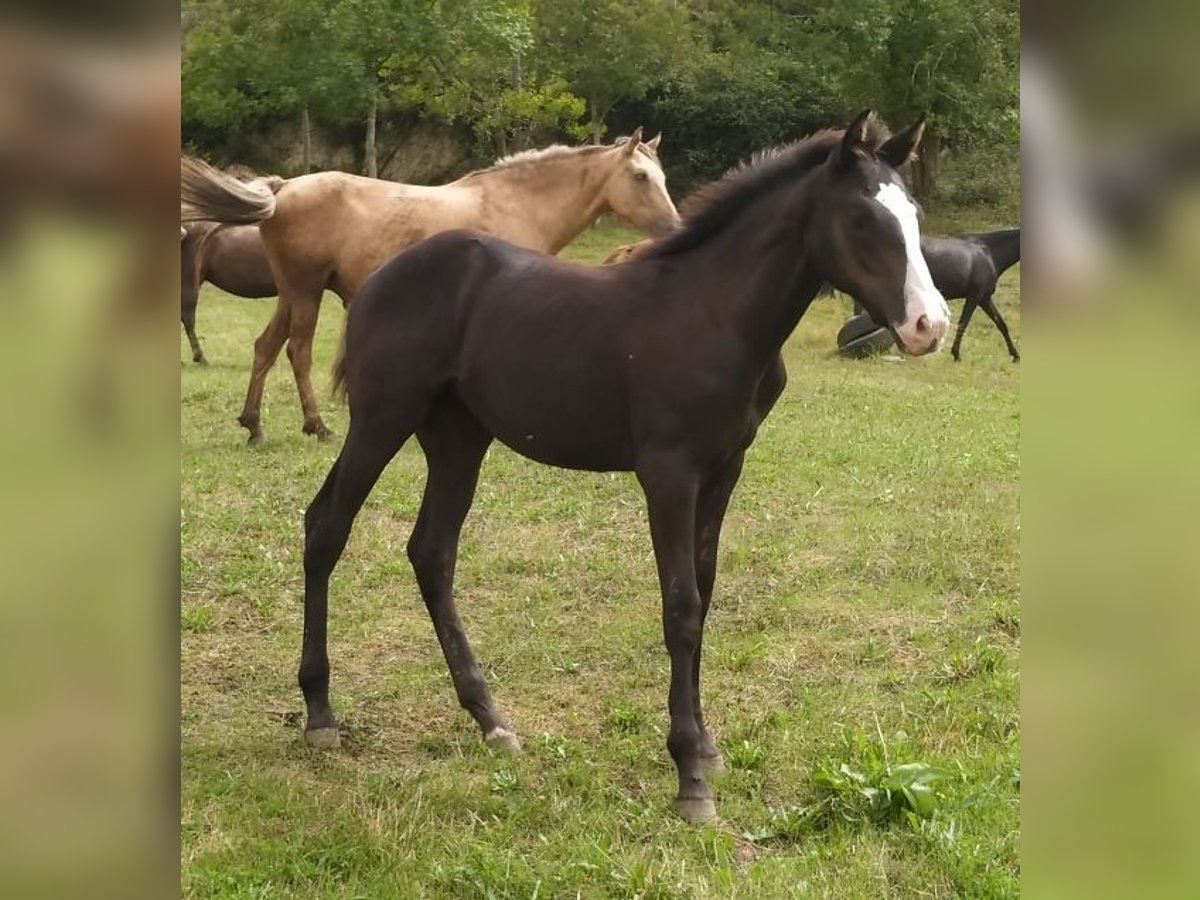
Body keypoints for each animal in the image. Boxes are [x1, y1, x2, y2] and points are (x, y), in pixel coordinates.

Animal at [181, 130, 681, 444]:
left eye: (663, 177)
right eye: (641, 177)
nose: (674, 228)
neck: (516, 203)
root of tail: (282, 188)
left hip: (290, 295)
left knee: (265, 348)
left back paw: (254, 425)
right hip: (305, 293)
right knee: (297, 352)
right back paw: (316, 425)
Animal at [297, 111, 945, 825]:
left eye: (912, 214)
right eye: (862, 218)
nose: (929, 325)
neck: (715, 310)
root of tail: (381, 279)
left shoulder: (725, 467)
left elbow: (704, 592)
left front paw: (707, 745)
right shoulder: (668, 472)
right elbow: (680, 606)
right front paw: (691, 778)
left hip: (458, 438)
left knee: (431, 553)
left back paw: (491, 720)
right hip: (383, 417)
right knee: (326, 527)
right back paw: (320, 714)